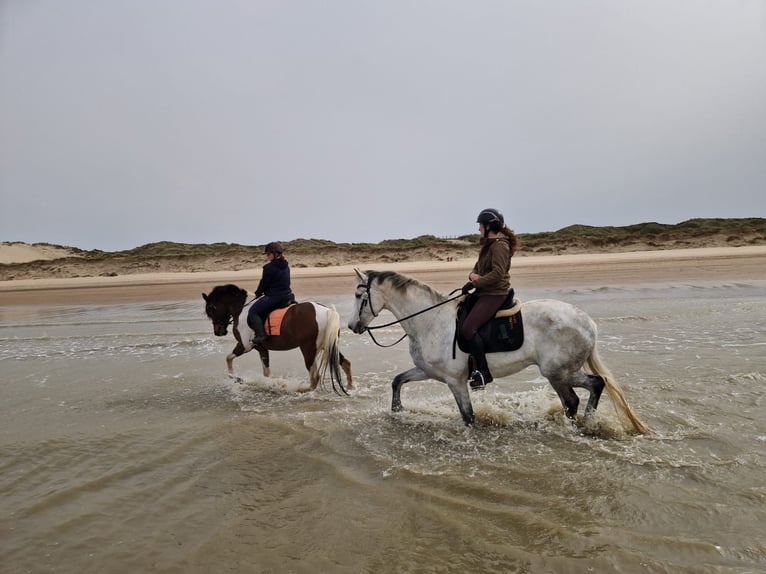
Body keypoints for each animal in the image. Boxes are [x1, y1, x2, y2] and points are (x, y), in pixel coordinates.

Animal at [203, 284, 353, 394]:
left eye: (211, 308)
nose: (218, 331)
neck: (241, 309)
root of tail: (328, 311)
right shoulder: (261, 349)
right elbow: (266, 372)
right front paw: (268, 384)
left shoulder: (245, 345)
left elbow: (228, 358)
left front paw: (237, 379)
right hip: (328, 345)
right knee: (345, 363)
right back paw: (351, 387)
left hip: (308, 349)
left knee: (314, 377)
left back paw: (299, 389)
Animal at [348, 269, 651, 434]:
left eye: (358, 296)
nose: (352, 326)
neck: (430, 320)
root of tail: (588, 322)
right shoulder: (428, 371)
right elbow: (397, 380)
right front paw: (397, 412)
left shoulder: (455, 380)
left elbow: (468, 416)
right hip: (561, 373)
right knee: (582, 394)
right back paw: (584, 424)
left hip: (558, 372)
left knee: (588, 389)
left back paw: (584, 425)